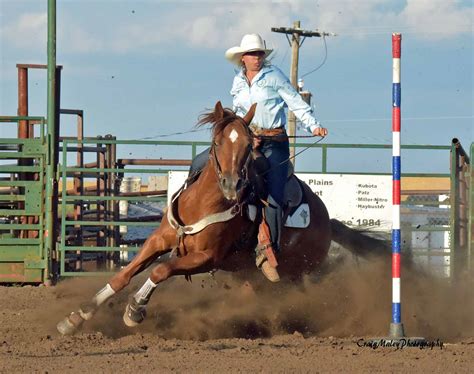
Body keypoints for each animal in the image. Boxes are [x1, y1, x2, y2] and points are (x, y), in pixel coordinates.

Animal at [56, 101, 388, 336]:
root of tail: (326, 220)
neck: (201, 205)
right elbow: (124, 275)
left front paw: (135, 310)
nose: (232, 184)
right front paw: (76, 317)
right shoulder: (159, 240)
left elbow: (161, 271)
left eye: (247, 145)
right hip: (251, 273)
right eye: (218, 143)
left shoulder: (208, 257)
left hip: (296, 272)